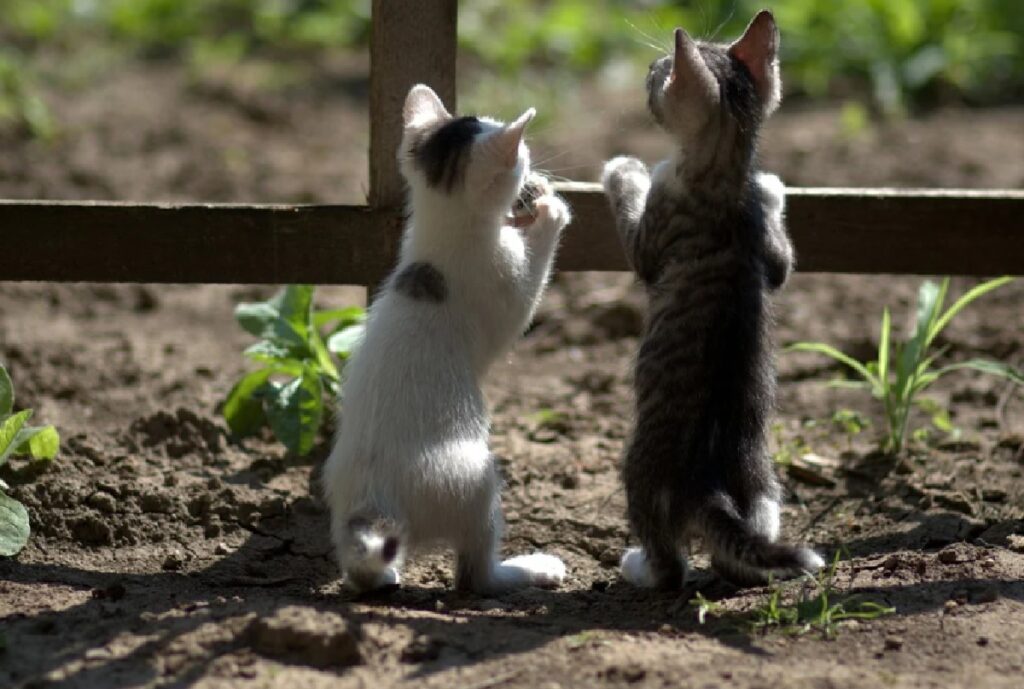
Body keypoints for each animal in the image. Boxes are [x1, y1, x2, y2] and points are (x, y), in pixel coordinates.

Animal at [323, 84, 573, 589]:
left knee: (361, 570)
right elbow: (526, 295)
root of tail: (375, 499)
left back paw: (381, 577)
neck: (442, 235)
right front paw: (550, 209)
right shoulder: (503, 290)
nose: (535, 172)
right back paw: (529, 569)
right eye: (523, 157)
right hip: (475, 480)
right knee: (475, 576)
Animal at [598, 10, 823, 589]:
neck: (726, 179)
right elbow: (782, 259)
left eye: (662, 73)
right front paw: (774, 188)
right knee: (747, 540)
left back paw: (640, 567)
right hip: (764, 482)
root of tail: (710, 484)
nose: (649, 69)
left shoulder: (652, 237)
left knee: (670, 564)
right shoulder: (770, 258)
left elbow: (636, 219)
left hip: (639, 473)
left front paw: (623, 169)